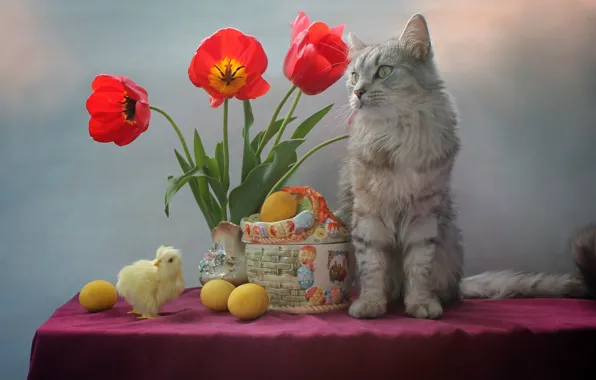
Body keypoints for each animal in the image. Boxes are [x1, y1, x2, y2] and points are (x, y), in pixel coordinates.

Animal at [340, 13, 596, 320]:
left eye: (384, 71)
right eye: (354, 75)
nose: (358, 92)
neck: (396, 135)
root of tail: (459, 283)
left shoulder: (424, 213)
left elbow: (418, 268)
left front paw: (420, 303)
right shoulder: (369, 212)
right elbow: (372, 267)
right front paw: (370, 304)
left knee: (444, 290)